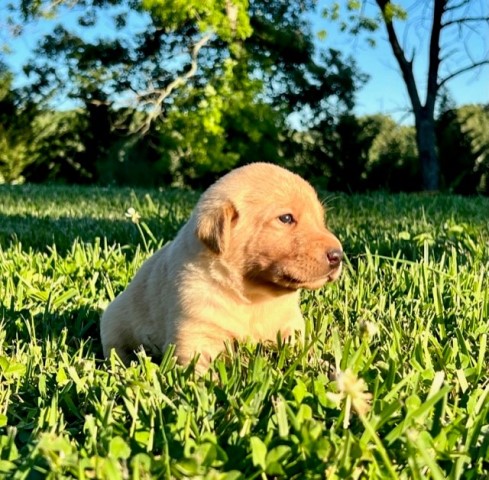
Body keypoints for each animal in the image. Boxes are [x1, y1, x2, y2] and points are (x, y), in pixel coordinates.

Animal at [100, 163, 342, 370]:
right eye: (286, 218)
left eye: (321, 220)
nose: (338, 255)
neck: (253, 296)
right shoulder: (195, 333)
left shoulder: (291, 326)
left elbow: (306, 352)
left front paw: (328, 369)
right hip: (113, 324)